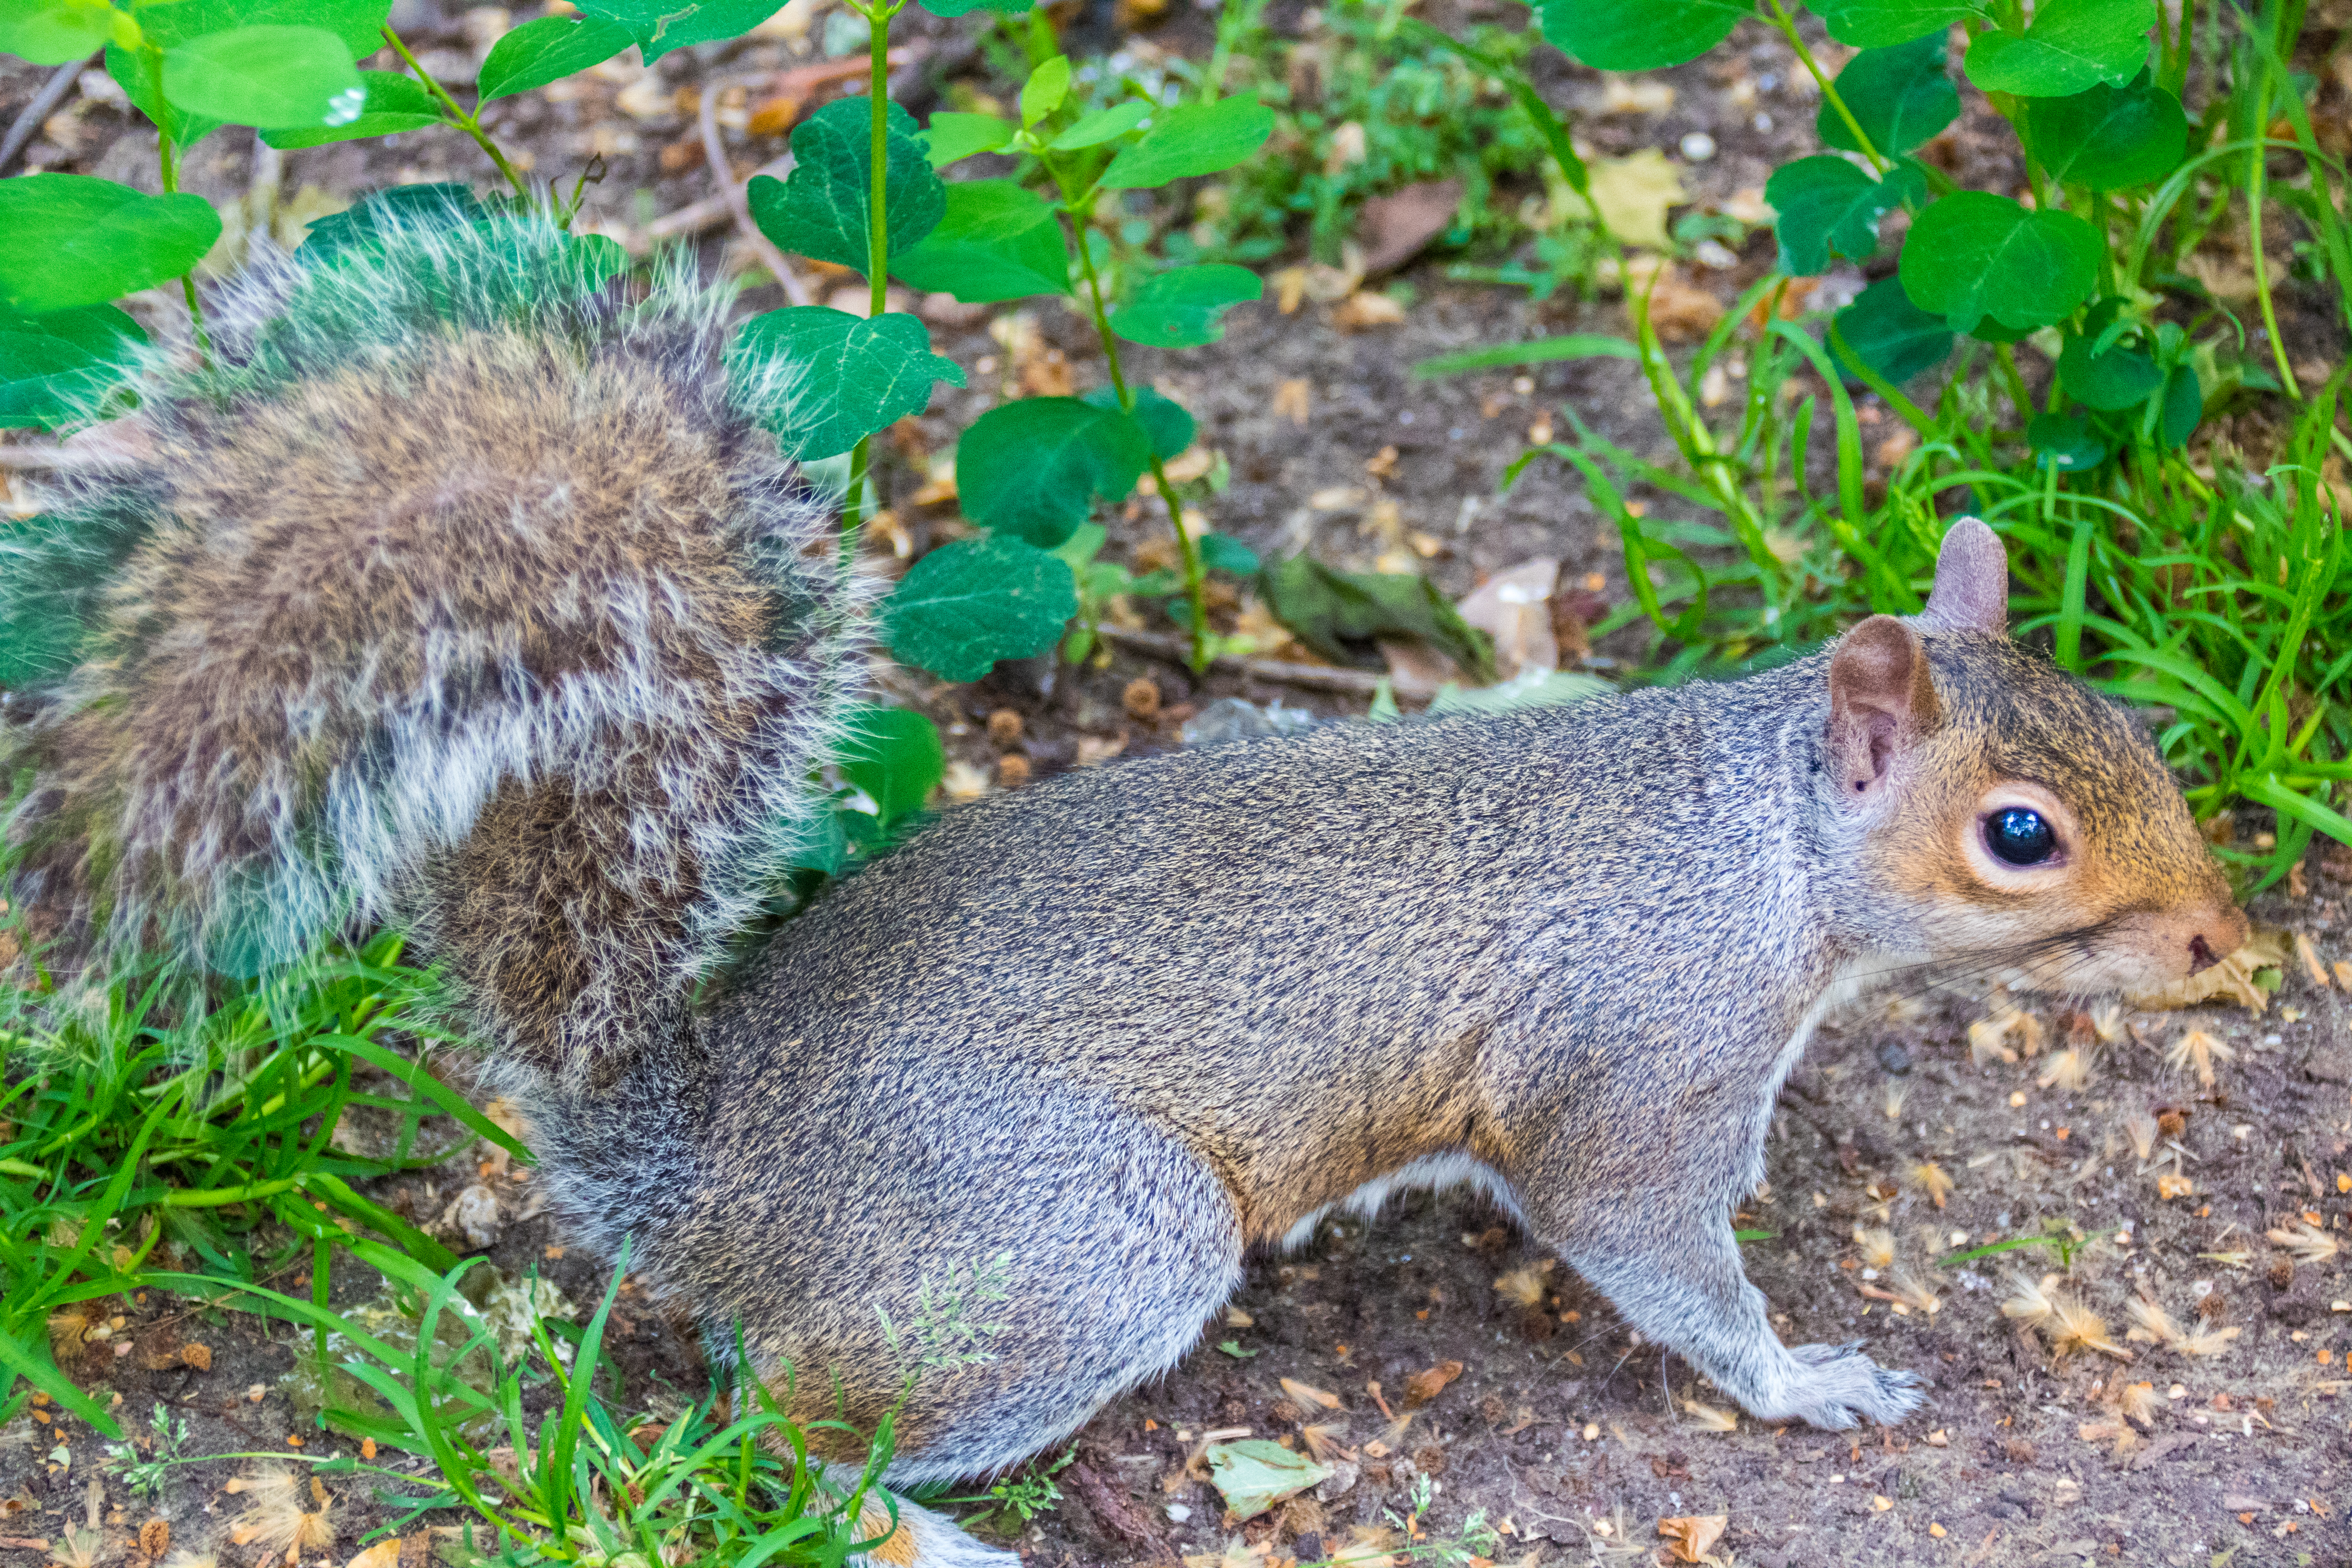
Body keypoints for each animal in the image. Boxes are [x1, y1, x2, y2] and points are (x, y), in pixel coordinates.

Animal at [0, 211, 2239, 1568]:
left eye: (2131, 726)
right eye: (2017, 833)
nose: (2228, 943)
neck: (1753, 846)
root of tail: (693, 1164)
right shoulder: (1631, 1060)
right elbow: (1648, 1243)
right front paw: (1808, 1375)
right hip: (1078, 1235)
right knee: (771, 1430)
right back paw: (934, 1533)